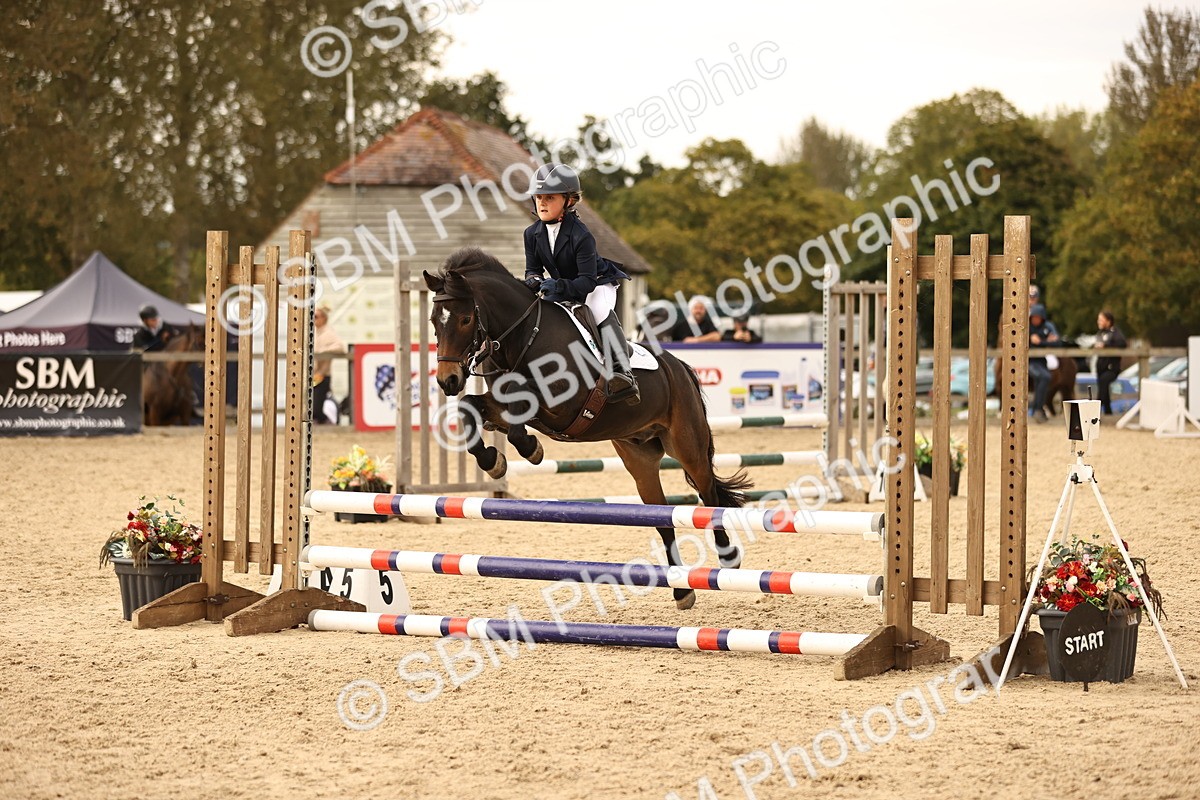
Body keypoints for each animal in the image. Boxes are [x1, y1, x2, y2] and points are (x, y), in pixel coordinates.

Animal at [422, 248, 754, 610]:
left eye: (465, 319)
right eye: (434, 322)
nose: (448, 381)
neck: (524, 337)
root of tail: (679, 366)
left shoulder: (560, 405)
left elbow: (520, 413)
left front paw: (529, 449)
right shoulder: (499, 402)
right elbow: (472, 409)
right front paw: (492, 460)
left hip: (687, 445)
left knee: (708, 496)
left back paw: (728, 559)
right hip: (639, 458)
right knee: (662, 518)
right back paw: (682, 590)